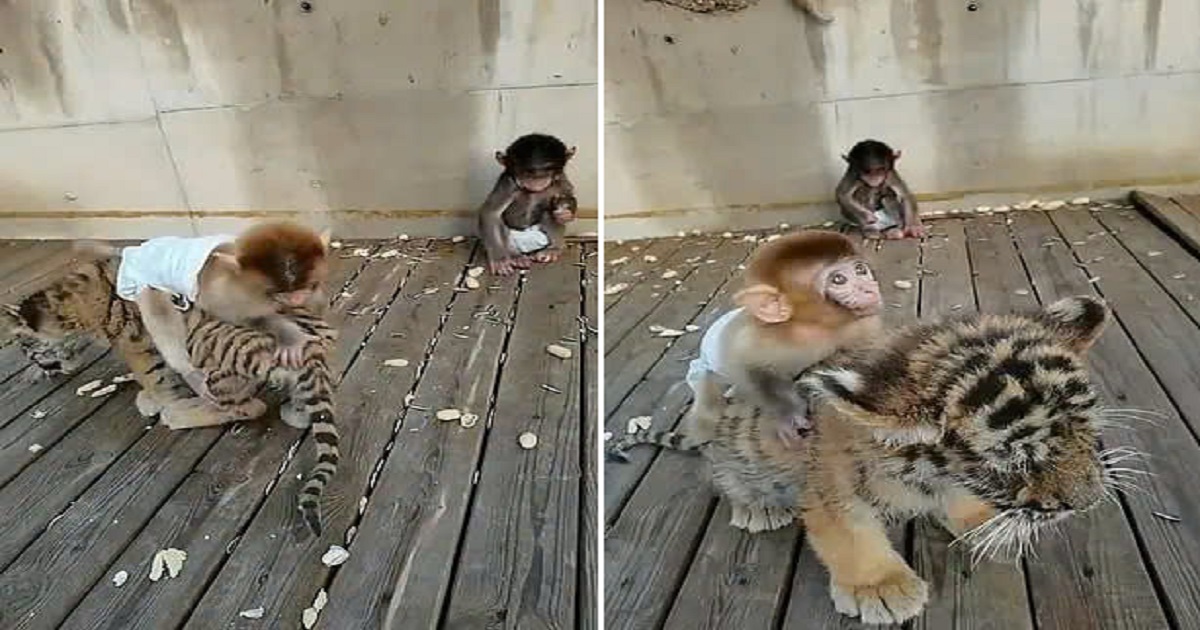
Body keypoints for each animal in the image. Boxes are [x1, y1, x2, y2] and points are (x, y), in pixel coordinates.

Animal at [475, 132, 578, 274]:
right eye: (526, 171)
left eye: (548, 169)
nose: (537, 178)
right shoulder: (508, 183)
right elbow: (491, 213)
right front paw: (499, 258)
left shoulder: (560, 178)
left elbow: (567, 196)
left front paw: (566, 214)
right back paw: (515, 256)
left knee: (548, 211)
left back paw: (553, 249)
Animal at [681, 229, 888, 446]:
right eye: (839, 279)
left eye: (860, 269)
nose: (870, 287)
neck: (815, 326)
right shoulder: (756, 340)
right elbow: (749, 369)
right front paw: (789, 414)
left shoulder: (864, 326)